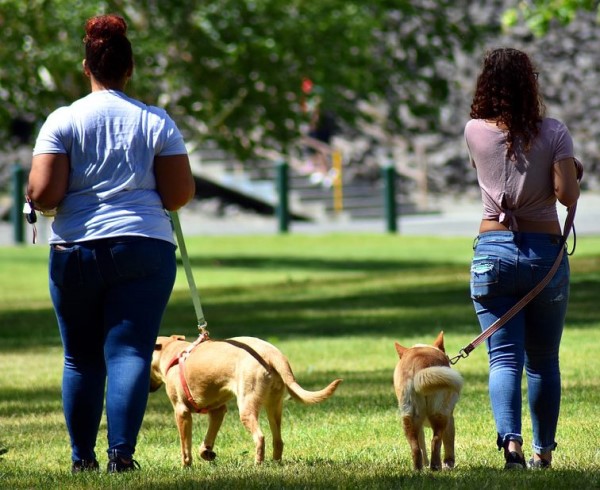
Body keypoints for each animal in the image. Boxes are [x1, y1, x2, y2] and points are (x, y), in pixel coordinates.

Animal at [150, 334, 342, 468]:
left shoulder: (181, 412)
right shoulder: (218, 411)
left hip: (246, 406)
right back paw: (276, 463)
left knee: (260, 437)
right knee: (278, 440)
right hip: (274, 405)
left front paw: (186, 467)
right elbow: (207, 440)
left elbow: (185, 447)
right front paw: (207, 453)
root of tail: (272, 353)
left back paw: (258, 464)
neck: (172, 352)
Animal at [394, 332, 464, 468]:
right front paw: (449, 463)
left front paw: (425, 464)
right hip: (441, 414)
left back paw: (419, 469)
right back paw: (436, 467)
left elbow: (422, 446)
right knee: (436, 442)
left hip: (409, 418)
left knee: (416, 448)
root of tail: (419, 365)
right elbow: (449, 443)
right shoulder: (450, 419)